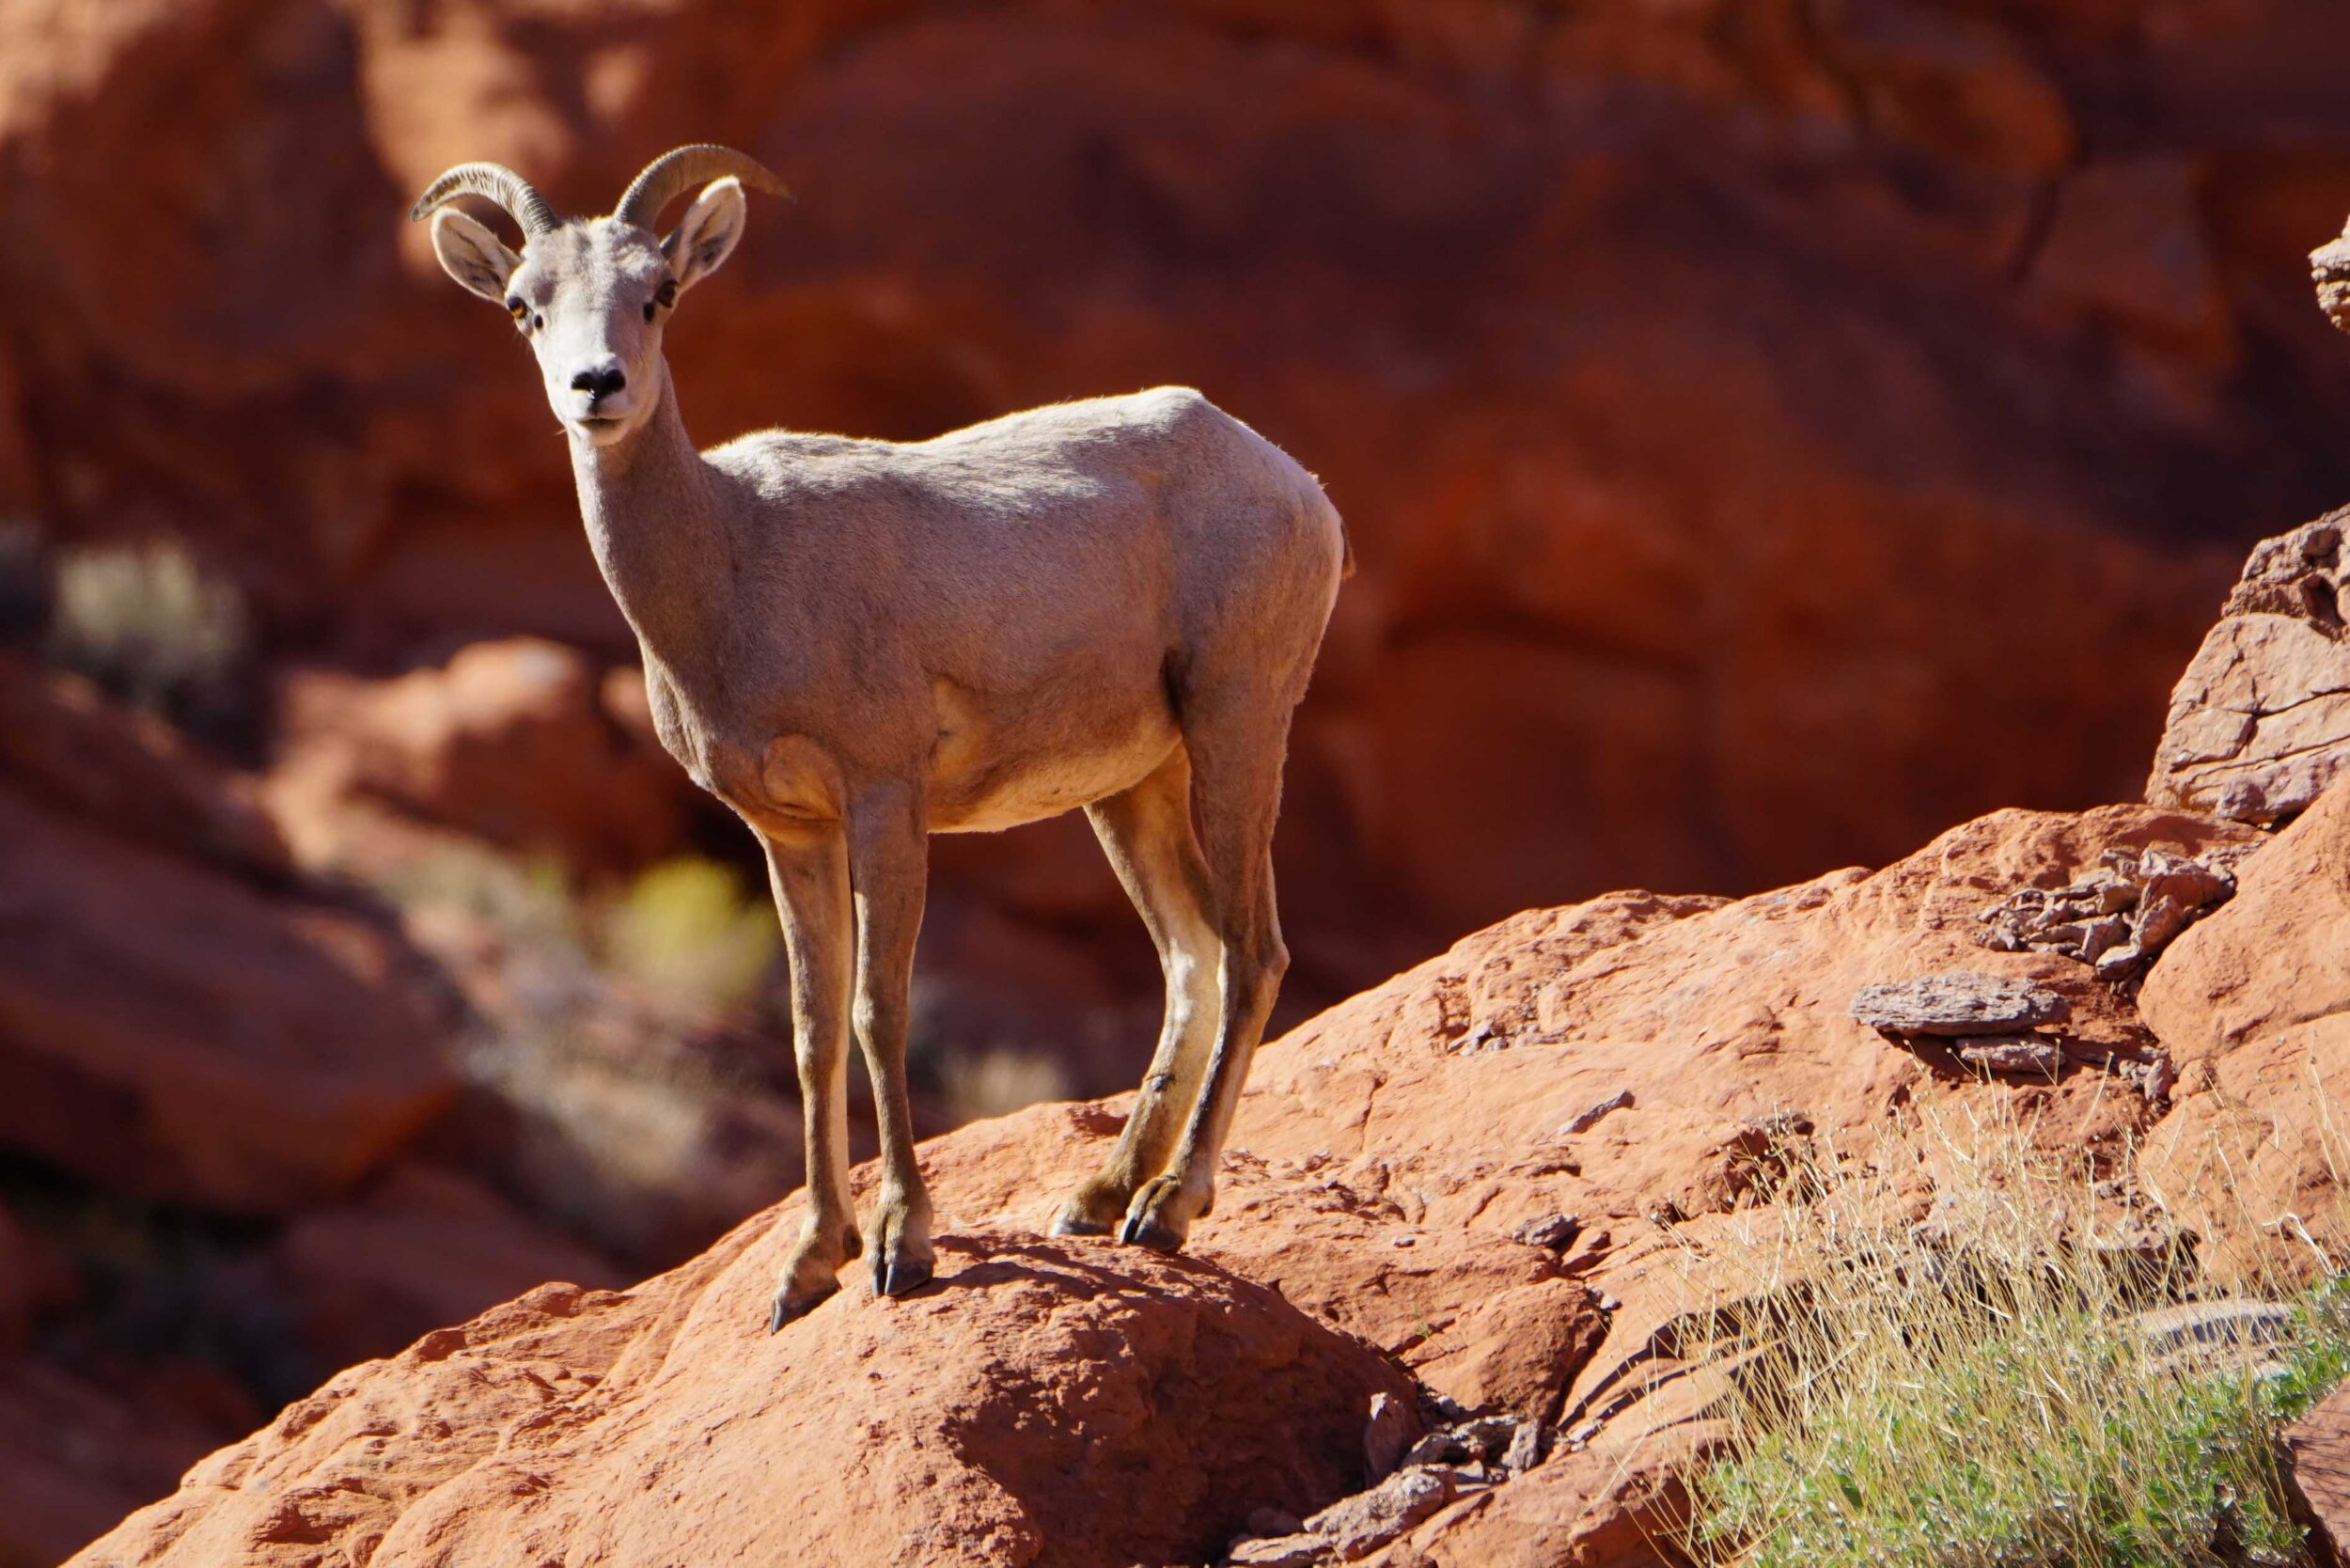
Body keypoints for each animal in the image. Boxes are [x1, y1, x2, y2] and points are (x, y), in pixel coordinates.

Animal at [414, 147, 1354, 1335]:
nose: (597, 387)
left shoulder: (883, 800)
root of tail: (1297, 487)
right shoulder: (789, 833)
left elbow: (877, 1011)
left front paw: (904, 1251)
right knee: (1194, 954)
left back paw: (1166, 1212)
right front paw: (808, 1269)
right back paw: (1097, 1201)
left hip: (1238, 728)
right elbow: (812, 1031)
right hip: (1130, 786)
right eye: (523, 306)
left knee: (1254, 951)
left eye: (657, 293)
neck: (733, 563)